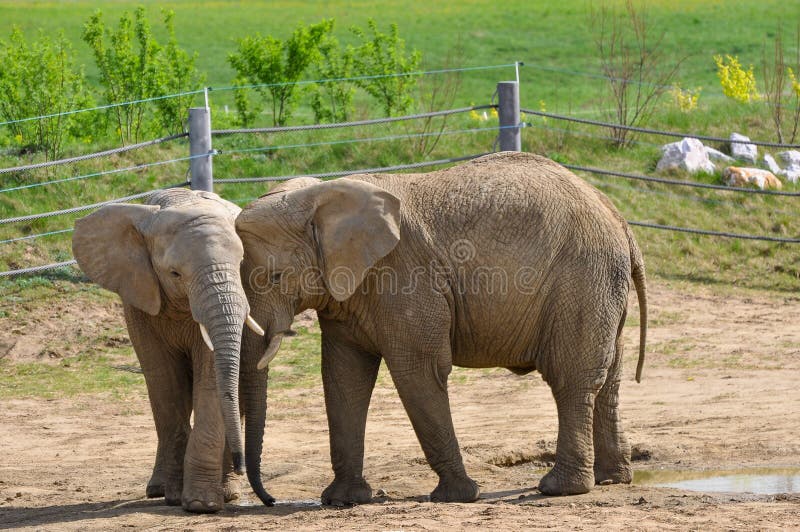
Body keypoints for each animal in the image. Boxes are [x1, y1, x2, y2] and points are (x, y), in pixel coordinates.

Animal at [70, 189, 276, 512]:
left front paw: (201, 504)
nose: (242, 465)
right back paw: (158, 489)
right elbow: (166, 384)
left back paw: (228, 491)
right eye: (175, 273)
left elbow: (209, 379)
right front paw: (179, 496)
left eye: (242, 263)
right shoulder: (139, 300)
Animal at [234, 152, 648, 504]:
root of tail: (620, 220)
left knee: (571, 379)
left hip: (582, 279)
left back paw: (560, 488)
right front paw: (343, 500)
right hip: (601, 285)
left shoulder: (404, 277)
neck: (320, 196)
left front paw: (459, 496)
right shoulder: (346, 293)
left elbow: (419, 372)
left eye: (274, 276)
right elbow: (344, 377)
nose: (270, 499)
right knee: (609, 379)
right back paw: (612, 478)